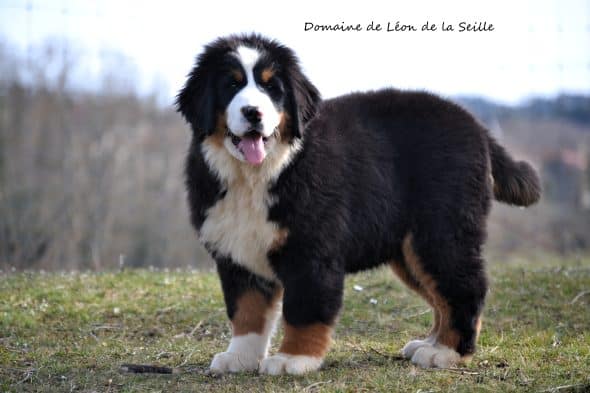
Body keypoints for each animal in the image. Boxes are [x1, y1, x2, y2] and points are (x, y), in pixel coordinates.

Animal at [176, 33, 540, 374]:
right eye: (231, 84)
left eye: (271, 88)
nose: (253, 112)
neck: (263, 171)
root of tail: (475, 126)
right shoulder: (238, 253)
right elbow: (246, 312)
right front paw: (240, 357)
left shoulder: (311, 251)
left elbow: (304, 309)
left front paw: (293, 359)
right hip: (408, 249)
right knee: (441, 295)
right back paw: (430, 343)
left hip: (440, 232)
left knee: (463, 288)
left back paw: (446, 352)